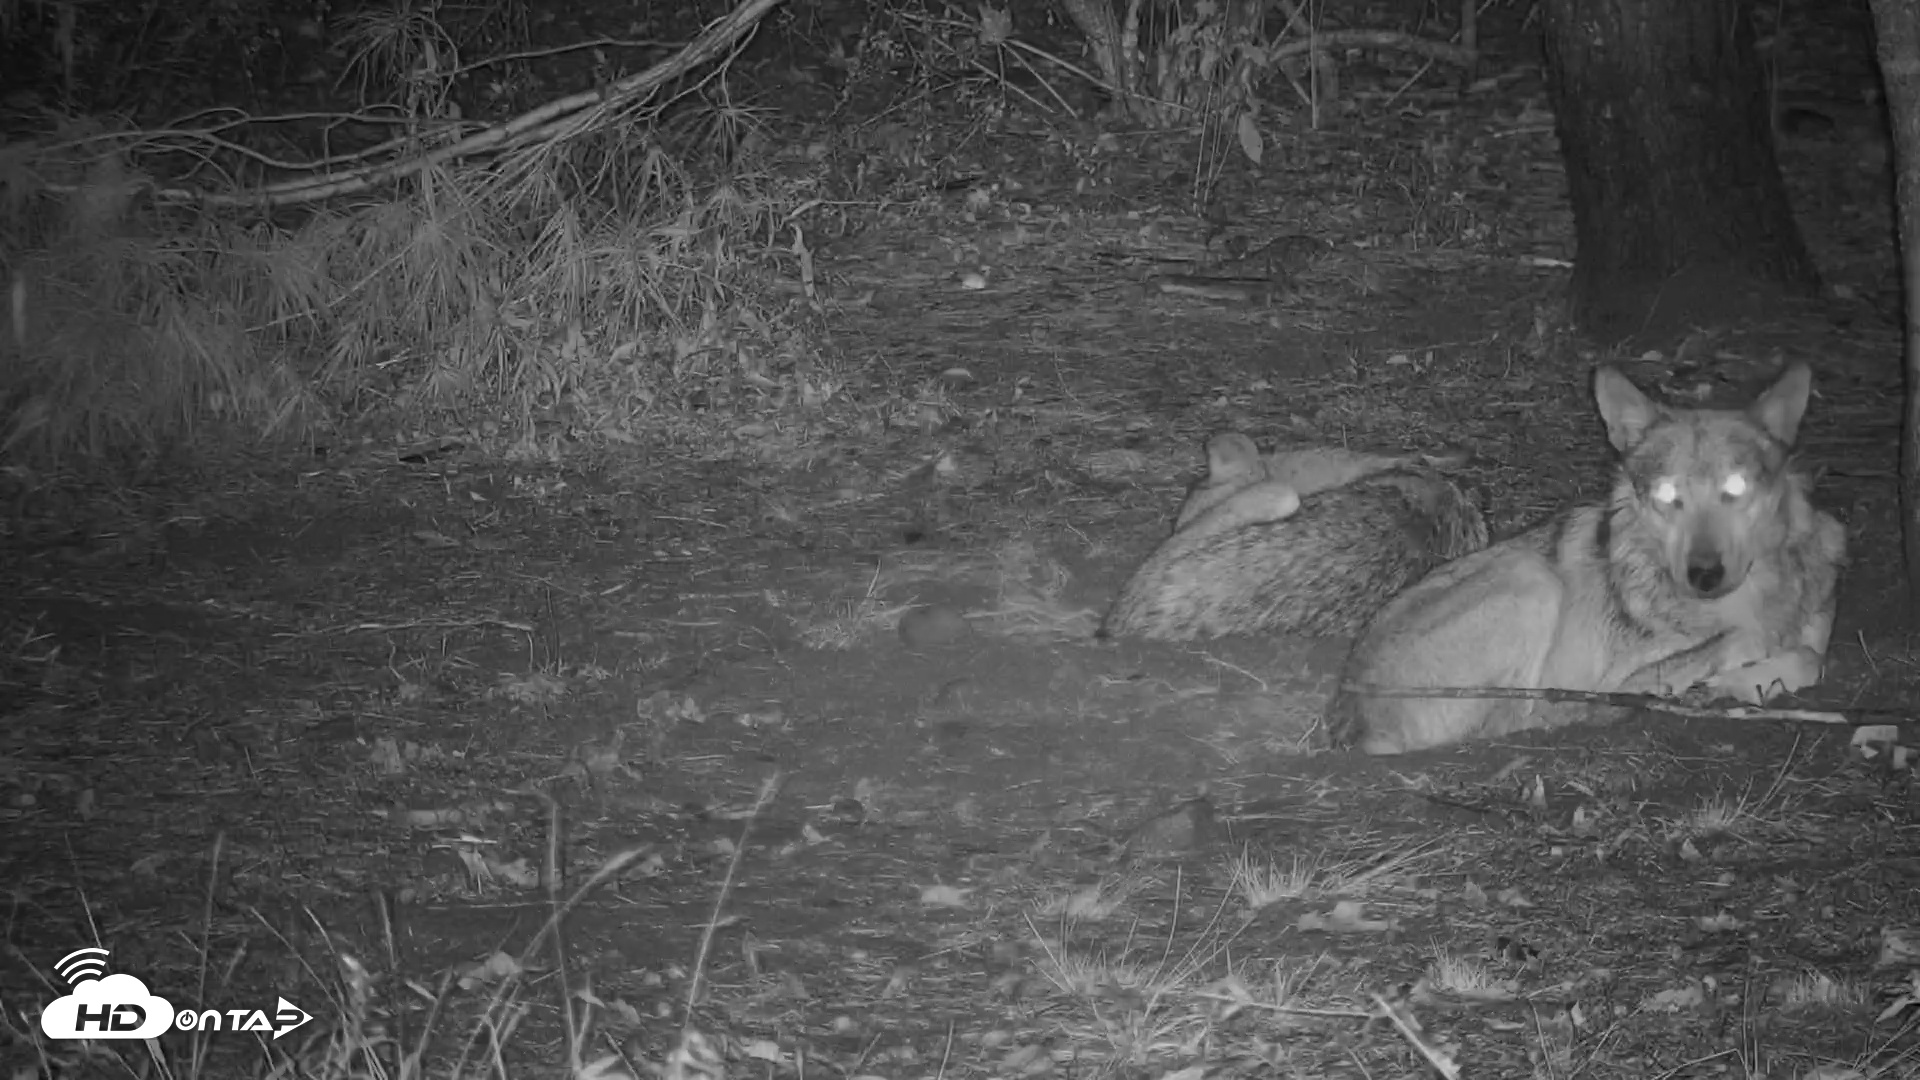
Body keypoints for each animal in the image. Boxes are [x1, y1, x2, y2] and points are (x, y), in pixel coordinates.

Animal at [1327, 363, 1847, 755]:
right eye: (1667, 495)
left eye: (1735, 489)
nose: (1703, 574)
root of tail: (1351, 717)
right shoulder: (1620, 674)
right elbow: (1732, 643)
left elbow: (1809, 656)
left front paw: (1744, 681)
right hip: (1533, 580)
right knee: (1531, 716)